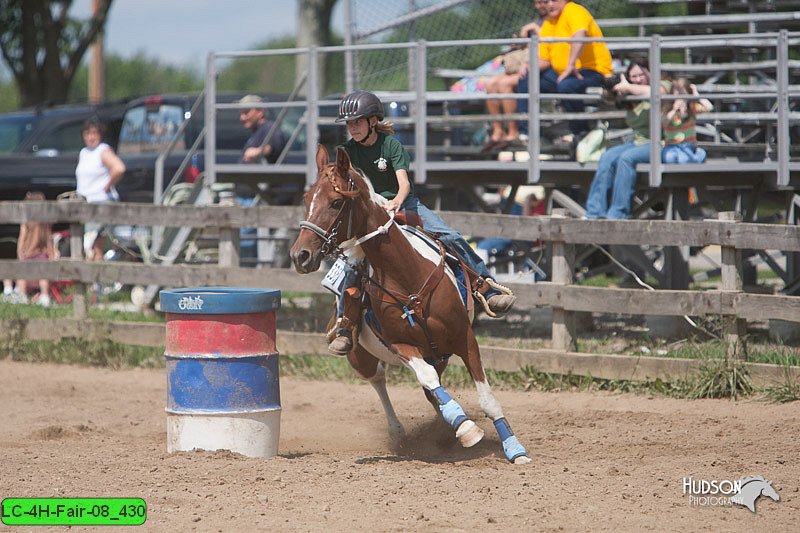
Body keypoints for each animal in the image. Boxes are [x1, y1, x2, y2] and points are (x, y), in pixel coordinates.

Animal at [290, 143, 532, 464]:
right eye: (307, 199)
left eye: (335, 202)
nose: (300, 256)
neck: (407, 277)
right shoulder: (401, 345)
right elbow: (426, 378)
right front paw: (466, 428)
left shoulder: (465, 338)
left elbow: (487, 398)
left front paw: (515, 449)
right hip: (360, 356)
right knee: (380, 379)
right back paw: (404, 431)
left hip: (440, 353)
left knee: (430, 391)